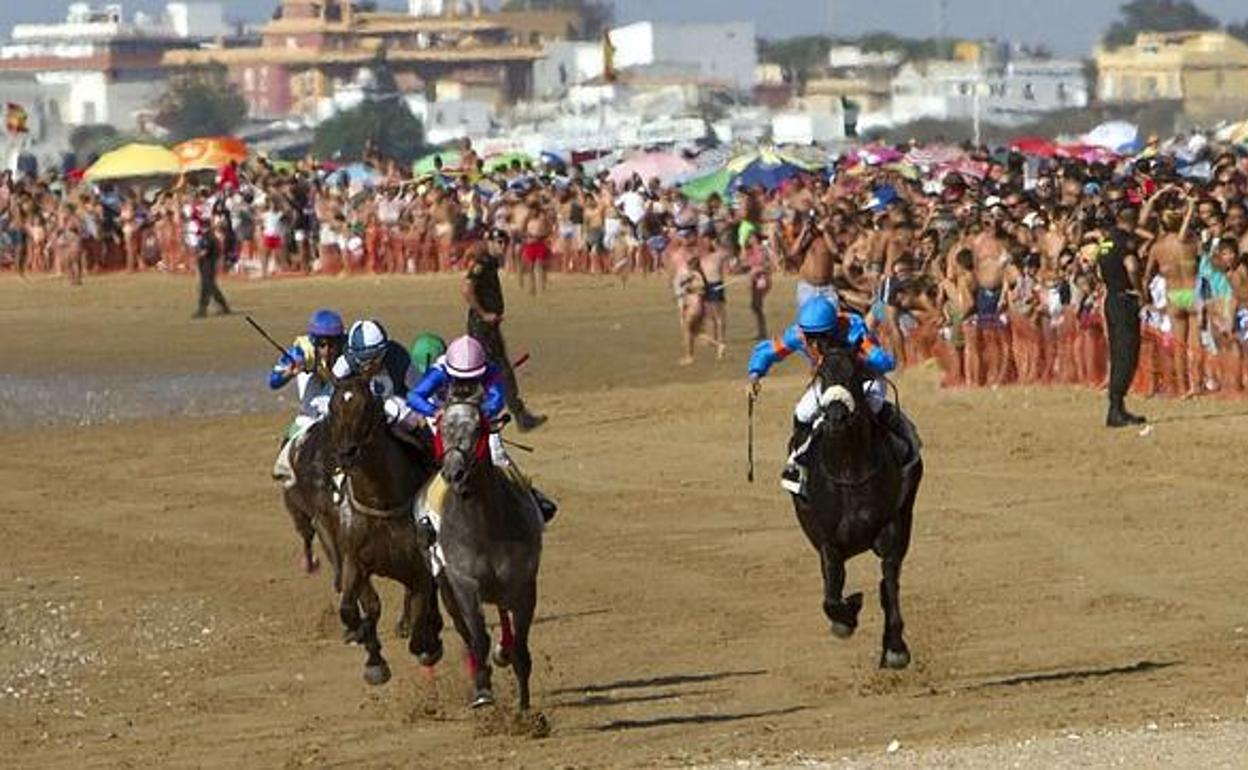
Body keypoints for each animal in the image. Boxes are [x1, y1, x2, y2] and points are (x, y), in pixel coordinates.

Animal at [321, 374, 444, 683]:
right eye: (332, 406)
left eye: (367, 405)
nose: (346, 453)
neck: (381, 502)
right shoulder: (356, 562)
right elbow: (357, 608)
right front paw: (372, 657)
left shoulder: (420, 568)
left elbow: (419, 627)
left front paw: (429, 645)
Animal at [431, 394, 544, 713]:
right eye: (443, 428)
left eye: (478, 428)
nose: (454, 472)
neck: (484, 526)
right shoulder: (464, 582)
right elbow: (478, 638)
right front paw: (483, 691)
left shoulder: (523, 584)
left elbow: (521, 646)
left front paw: (524, 708)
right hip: (446, 587)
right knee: (467, 633)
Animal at [793, 346, 923, 668]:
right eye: (822, 375)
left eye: (856, 374)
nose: (836, 415)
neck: (849, 468)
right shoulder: (827, 539)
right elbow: (831, 592)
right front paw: (846, 615)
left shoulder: (891, 529)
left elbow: (889, 583)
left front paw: (896, 649)